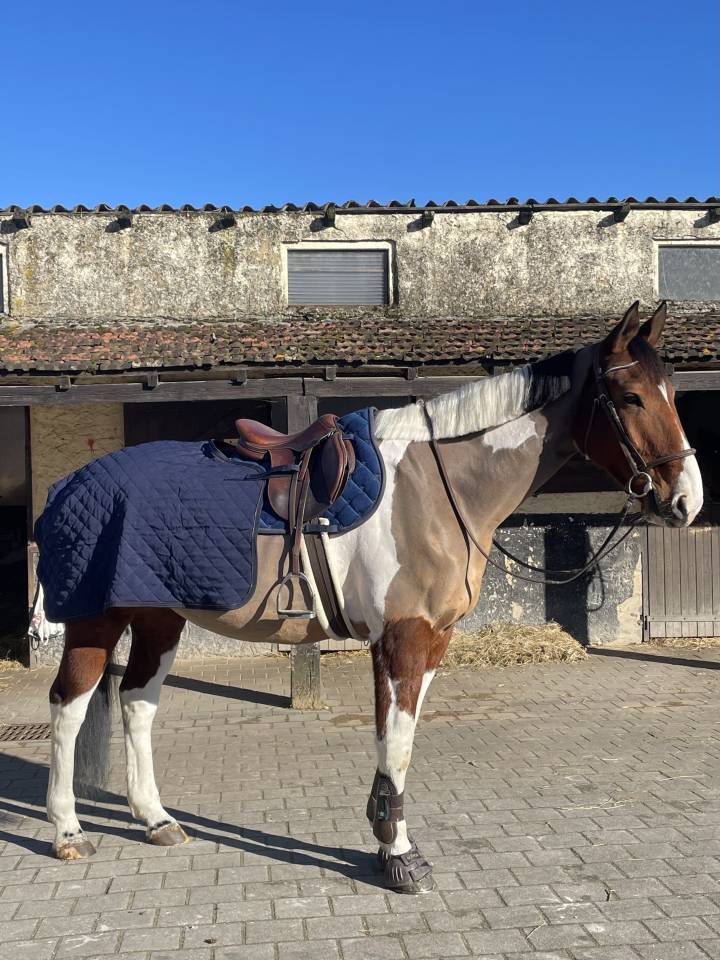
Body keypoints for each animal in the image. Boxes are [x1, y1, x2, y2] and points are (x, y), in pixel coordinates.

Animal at [44, 301, 702, 894]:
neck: (436, 485)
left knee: (137, 703)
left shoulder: (431, 641)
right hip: (95, 622)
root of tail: (72, 482)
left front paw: (389, 842)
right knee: (68, 708)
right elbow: (399, 745)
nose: (686, 502)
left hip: (160, 620)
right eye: (630, 398)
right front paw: (401, 857)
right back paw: (68, 831)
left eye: (674, 392)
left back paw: (157, 821)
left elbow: (399, 743)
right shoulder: (402, 639)